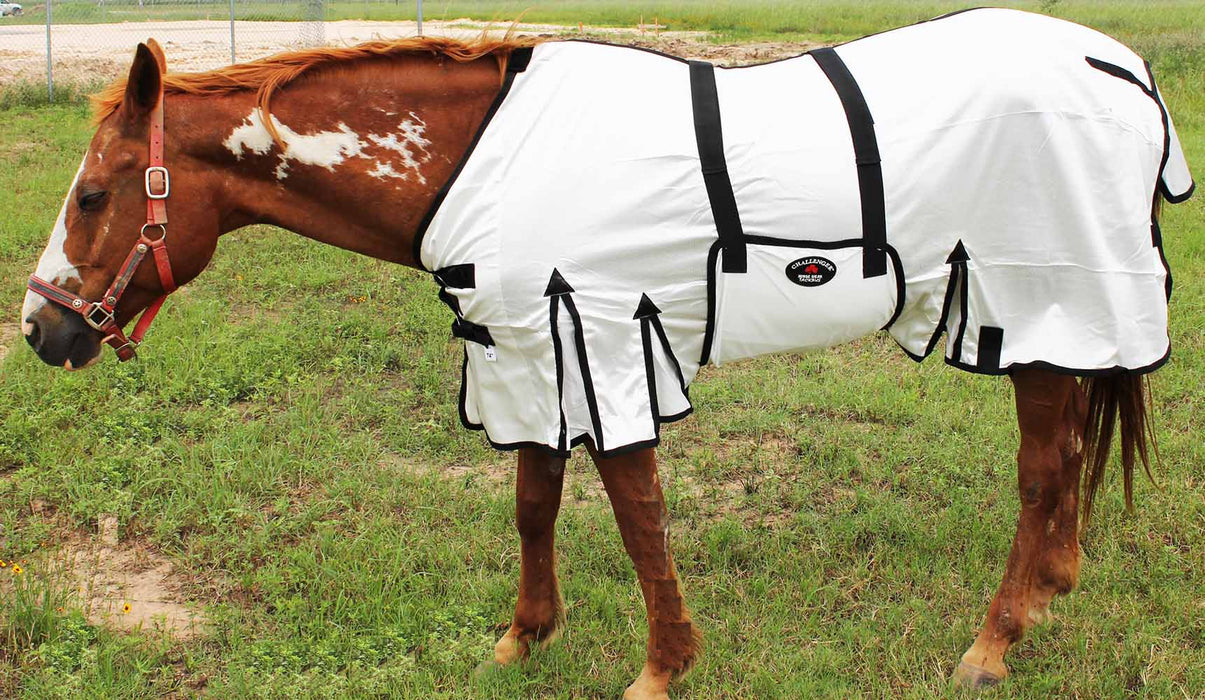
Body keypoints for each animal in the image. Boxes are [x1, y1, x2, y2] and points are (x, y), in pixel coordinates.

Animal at [17, 13, 1193, 699]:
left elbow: (636, 514)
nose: (41, 329)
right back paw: (1051, 588)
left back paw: (994, 640)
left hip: (1037, 307)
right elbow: (535, 503)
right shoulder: (523, 351)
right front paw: (521, 639)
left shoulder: (604, 338)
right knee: (1067, 458)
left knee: (1039, 470)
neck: (479, 160)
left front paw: (662, 668)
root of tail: (1121, 67)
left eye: (93, 195)